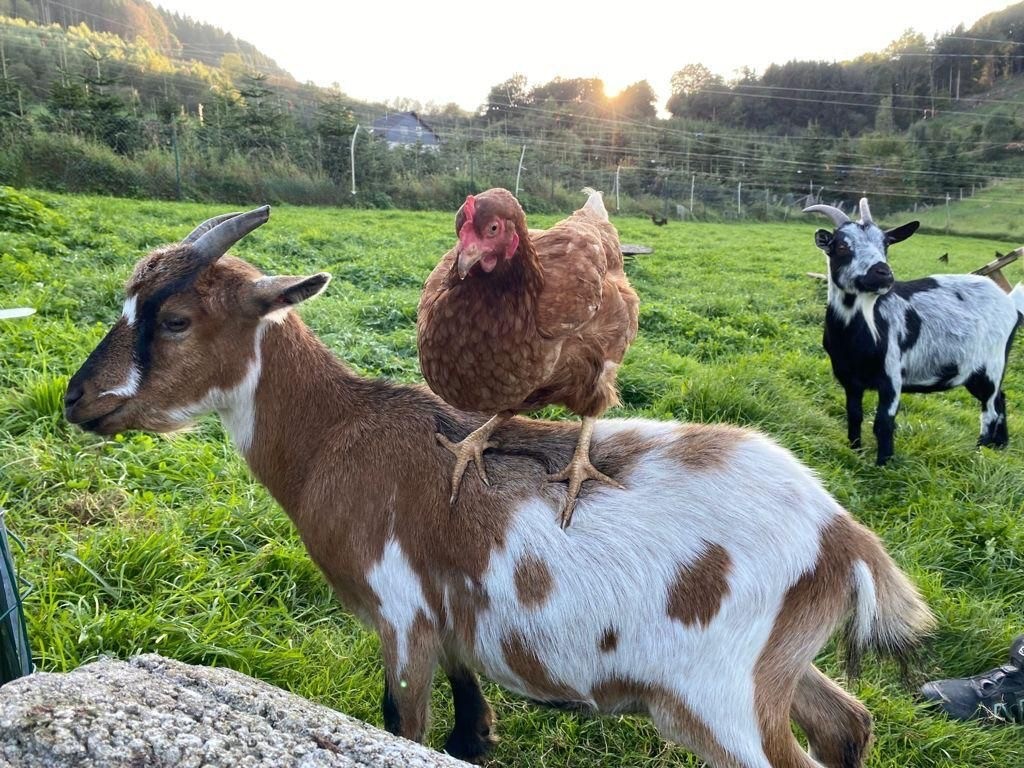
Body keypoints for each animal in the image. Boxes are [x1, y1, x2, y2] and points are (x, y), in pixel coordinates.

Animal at [64, 207, 934, 768]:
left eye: (175, 319)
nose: (77, 400)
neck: (337, 435)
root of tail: (842, 536)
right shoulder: (453, 617)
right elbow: (468, 721)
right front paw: (476, 738)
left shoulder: (401, 617)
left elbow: (403, 726)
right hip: (771, 667)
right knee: (848, 723)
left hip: (718, 703)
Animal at [805, 198, 1024, 466]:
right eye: (842, 245)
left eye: (886, 244)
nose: (883, 273)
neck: (857, 336)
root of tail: (1012, 305)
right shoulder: (848, 379)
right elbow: (854, 415)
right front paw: (855, 451)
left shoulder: (891, 376)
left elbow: (883, 423)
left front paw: (883, 464)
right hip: (975, 372)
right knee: (1000, 397)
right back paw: (1000, 446)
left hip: (992, 364)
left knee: (990, 408)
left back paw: (979, 452)